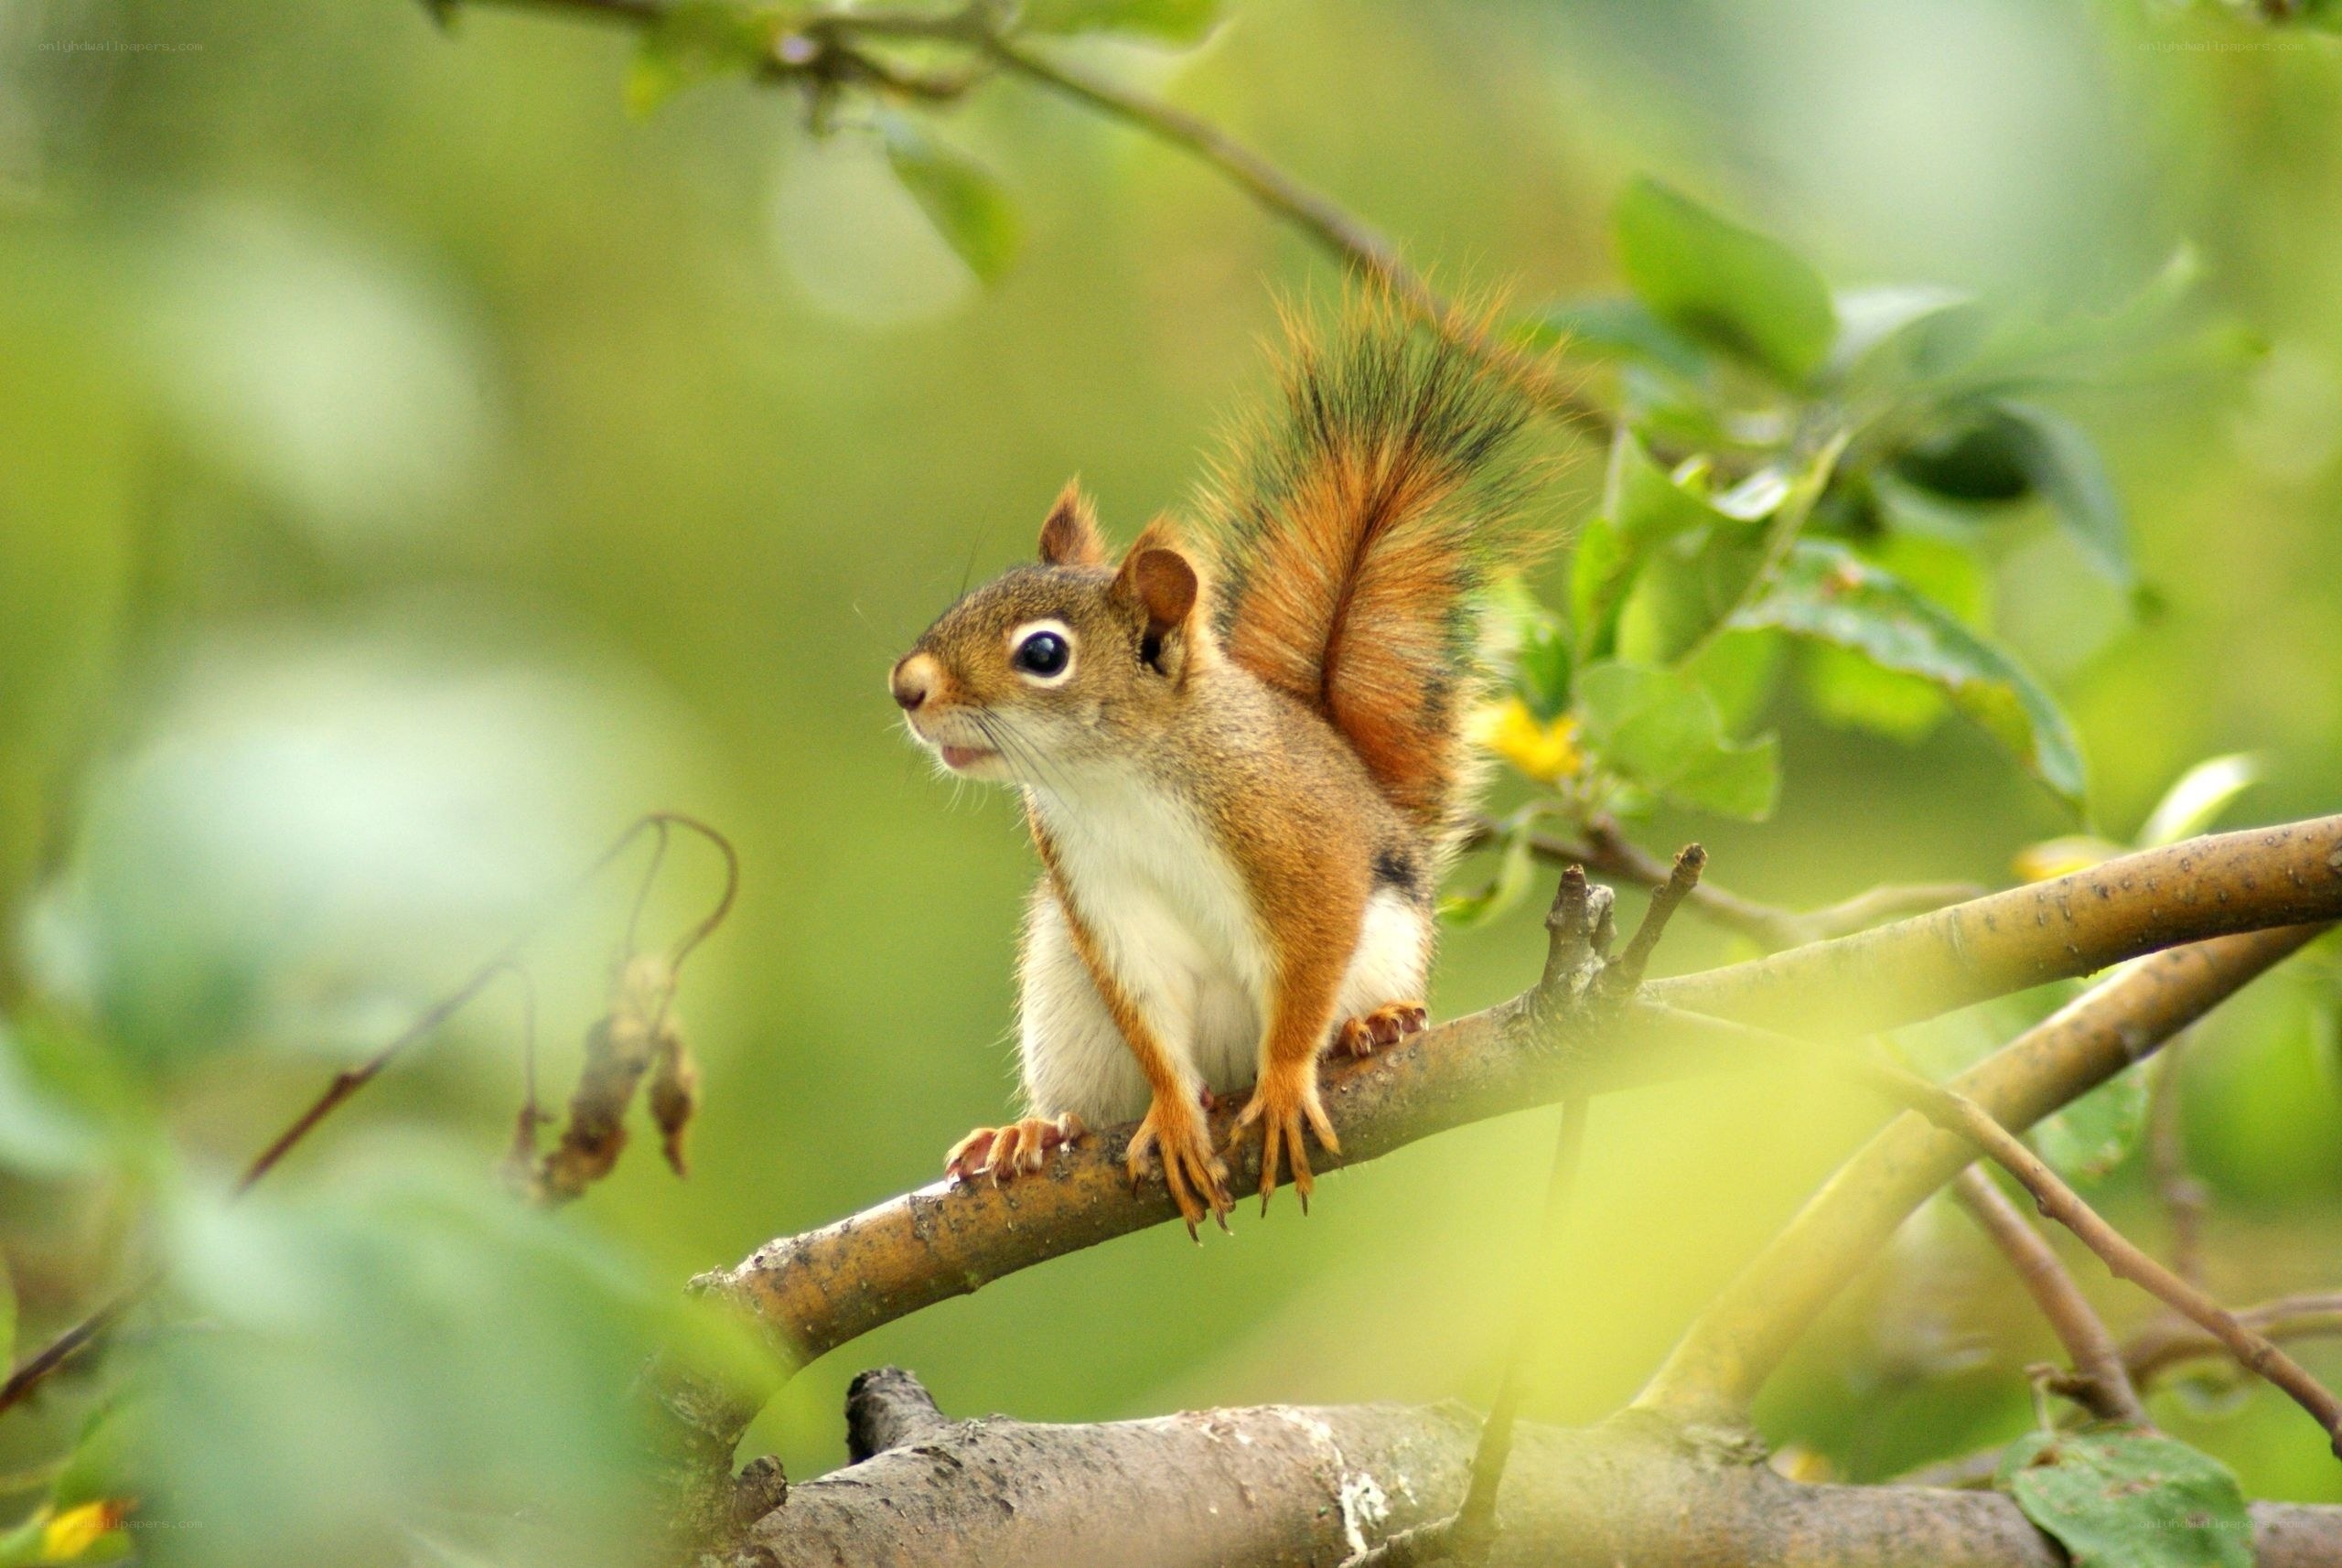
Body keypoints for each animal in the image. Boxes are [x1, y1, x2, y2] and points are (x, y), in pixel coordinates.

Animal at [890, 307, 1536, 1230]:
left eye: (1044, 654)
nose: (906, 687)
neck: (1115, 780)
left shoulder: (1303, 845)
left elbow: (1306, 967)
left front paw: (1290, 1079)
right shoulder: (1098, 892)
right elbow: (1151, 1017)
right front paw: (1170, 1114)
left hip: (1384, 944)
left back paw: (1371, 1027)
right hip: (1062, 1003)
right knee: (1088, 1098)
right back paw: (1033, 1132)